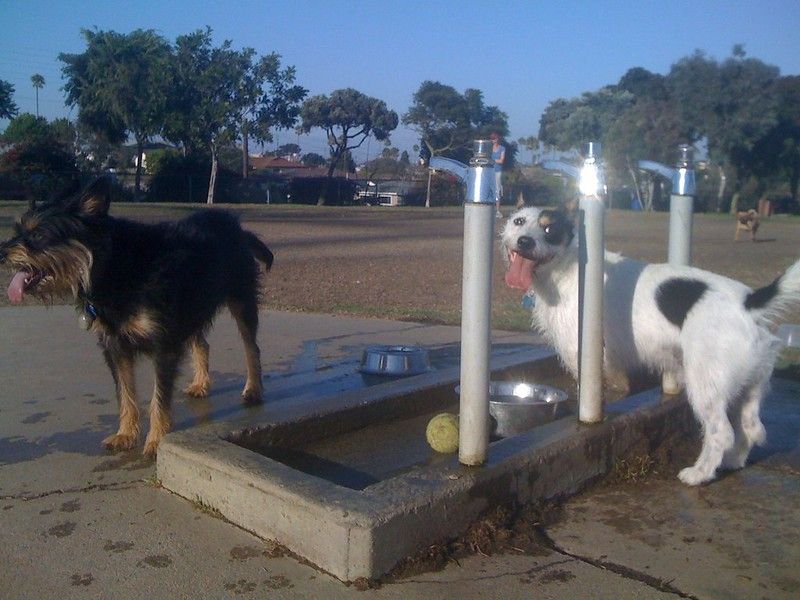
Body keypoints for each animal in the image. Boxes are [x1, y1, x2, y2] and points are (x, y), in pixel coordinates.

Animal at [0, 180, 276, 458]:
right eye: (17, 231)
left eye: (38, 235)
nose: (1, 253)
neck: (114, 266)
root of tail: (237, 227)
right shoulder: (115, 347)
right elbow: (126, 395)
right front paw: (125, 434)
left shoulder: (163, 345)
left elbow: (159, 399)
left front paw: (155, 441)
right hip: (189, 311)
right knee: (202, 343)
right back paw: (201, 384)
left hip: (241, 302)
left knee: (252, 347)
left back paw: (253, 389)